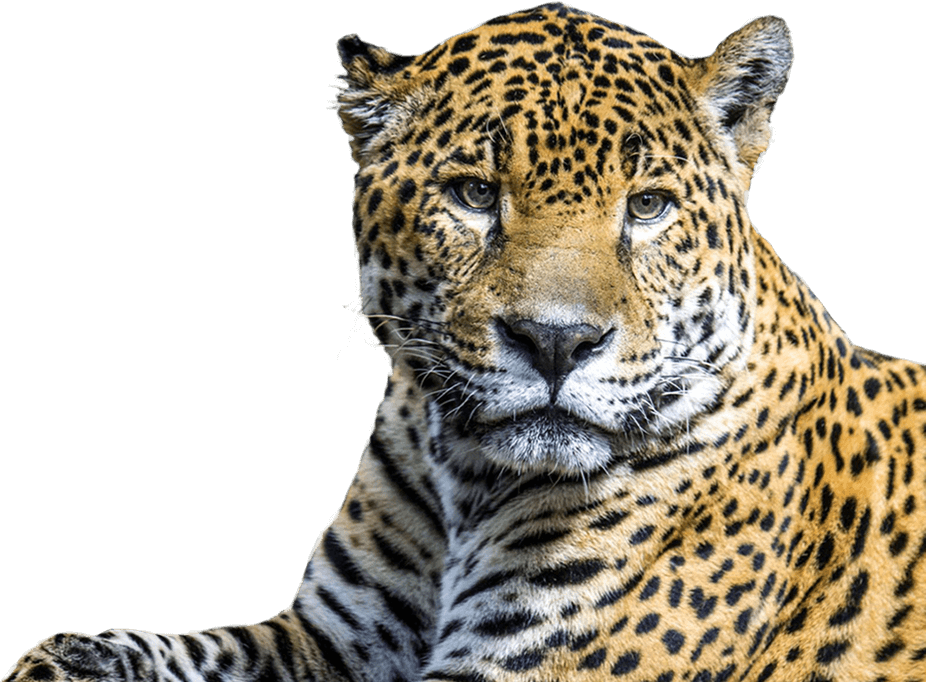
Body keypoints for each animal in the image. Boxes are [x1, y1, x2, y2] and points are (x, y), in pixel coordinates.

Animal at [5, 4, 924, 681]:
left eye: (649, 206)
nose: (555, 342)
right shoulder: (326, 641)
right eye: (475, 195)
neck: (467, 480)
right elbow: (177, 650)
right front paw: (64, 659)